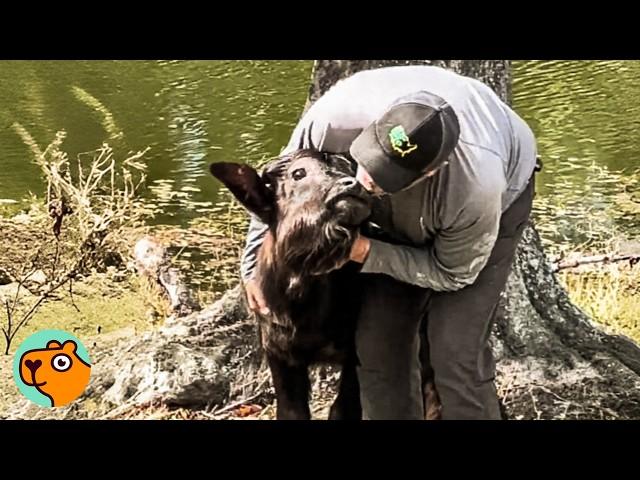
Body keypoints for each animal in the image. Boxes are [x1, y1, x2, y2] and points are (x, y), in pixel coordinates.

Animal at [210, 150, 440, 420]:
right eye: (299, 173)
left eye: (349, 167)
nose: (352, 185)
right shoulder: (280, 354)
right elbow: (291, 411)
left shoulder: (354, 357)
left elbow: (342, 410)